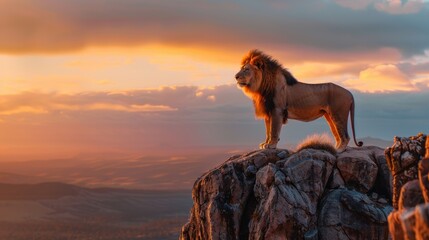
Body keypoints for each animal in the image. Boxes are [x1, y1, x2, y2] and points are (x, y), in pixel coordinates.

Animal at [234, 49, 362, 152]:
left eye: (246, 69)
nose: (235, 76)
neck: (262, 87)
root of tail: (349, 93)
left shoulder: (277, 110)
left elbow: (274, 130)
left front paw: (271, 145)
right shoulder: (268, 111)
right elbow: (268, 130)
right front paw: (265, 144)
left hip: (338, 114)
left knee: (345, 136)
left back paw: (338, 150)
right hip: (329, 116)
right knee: (338, 135)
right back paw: (334, 148)